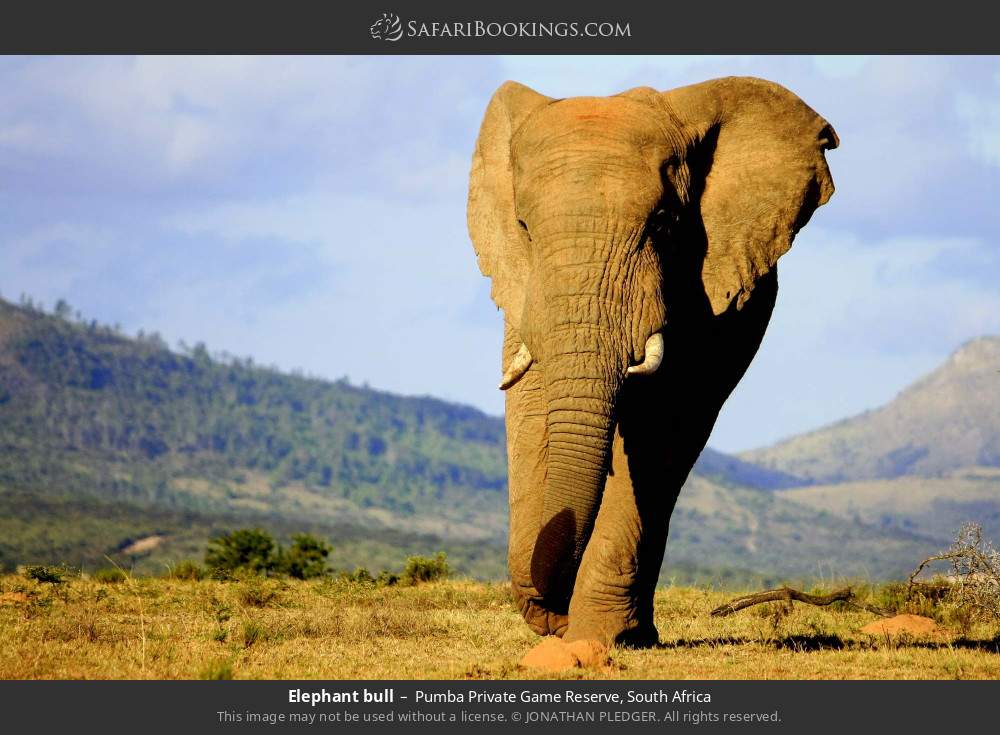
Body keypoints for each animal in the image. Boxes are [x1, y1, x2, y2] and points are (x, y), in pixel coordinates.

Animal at [467, 76, 838, 647]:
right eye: (524, 227)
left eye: (663, 225)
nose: (554, 616)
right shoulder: (522, 291)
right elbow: (531, 417)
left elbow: (658, 429)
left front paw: (597, 635)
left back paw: (635, 632)